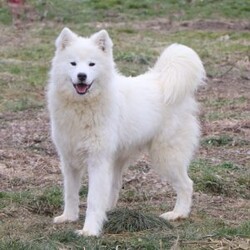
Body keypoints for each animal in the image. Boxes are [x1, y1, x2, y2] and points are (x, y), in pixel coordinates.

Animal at [47, 27, 205, 236]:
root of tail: (162, 79)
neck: (82, 107)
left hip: (166, 158)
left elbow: (92, 200)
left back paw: (178, 214)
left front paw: (89, 231)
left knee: (187, 184)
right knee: (114, 187)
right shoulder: (69, 160)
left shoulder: (97, 161)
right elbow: (71, 194)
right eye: (73, 63)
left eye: (91, 64)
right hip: (119, 160)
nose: (81, 75)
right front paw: (69, 217)